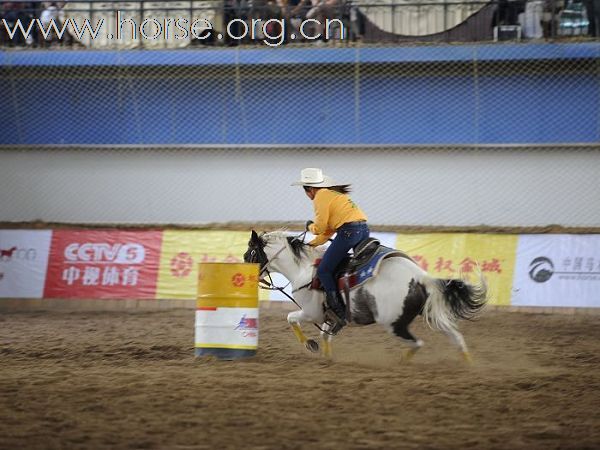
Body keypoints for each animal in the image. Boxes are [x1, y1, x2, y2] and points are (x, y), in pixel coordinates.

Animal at [243, 230, 488, 360]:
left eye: (250, 254)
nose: (247, 276)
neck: (303, 269)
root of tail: (420, 277)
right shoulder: (332, 319)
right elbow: (325, 336)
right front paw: (327, 358)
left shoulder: (312, 313)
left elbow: (291, 319)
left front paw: (310, 345)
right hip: (430, 315)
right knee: (457, 339)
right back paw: (469, 367)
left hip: (393, 323)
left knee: (418, 343)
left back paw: (401, 364)